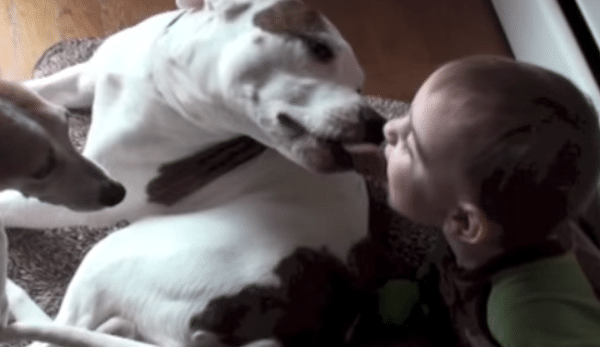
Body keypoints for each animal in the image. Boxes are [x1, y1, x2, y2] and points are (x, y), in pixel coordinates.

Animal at [3, 0, 384, 347]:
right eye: (319, 49)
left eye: (360, 88)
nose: (377, 124)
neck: (161, 82)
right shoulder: (82, 78)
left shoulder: (87, 189)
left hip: (111, 255)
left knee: (60, 331)